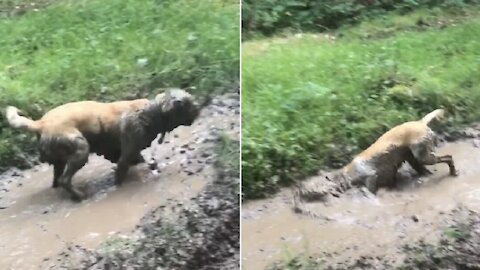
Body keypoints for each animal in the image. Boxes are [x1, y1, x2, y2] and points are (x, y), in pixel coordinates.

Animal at [4, 88, 199, 200]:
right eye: (191, 103)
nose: (198, 108)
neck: (150, 112)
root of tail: (41, 123)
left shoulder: (126, 153)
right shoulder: (126, 154)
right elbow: (120, 173)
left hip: (60, 159)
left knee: (57, 180)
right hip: (80, 148)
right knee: (65, 179)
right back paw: (79, 196)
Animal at [292, 108, 458, 214]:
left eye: (308, 189)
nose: (296, 193)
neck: (343, 176)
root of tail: (420, 122)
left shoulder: (370, 175)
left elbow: (367, 189)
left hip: (423, 156)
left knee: (448, 157)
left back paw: (453, 172)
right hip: (414, 157)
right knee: (423, 168)